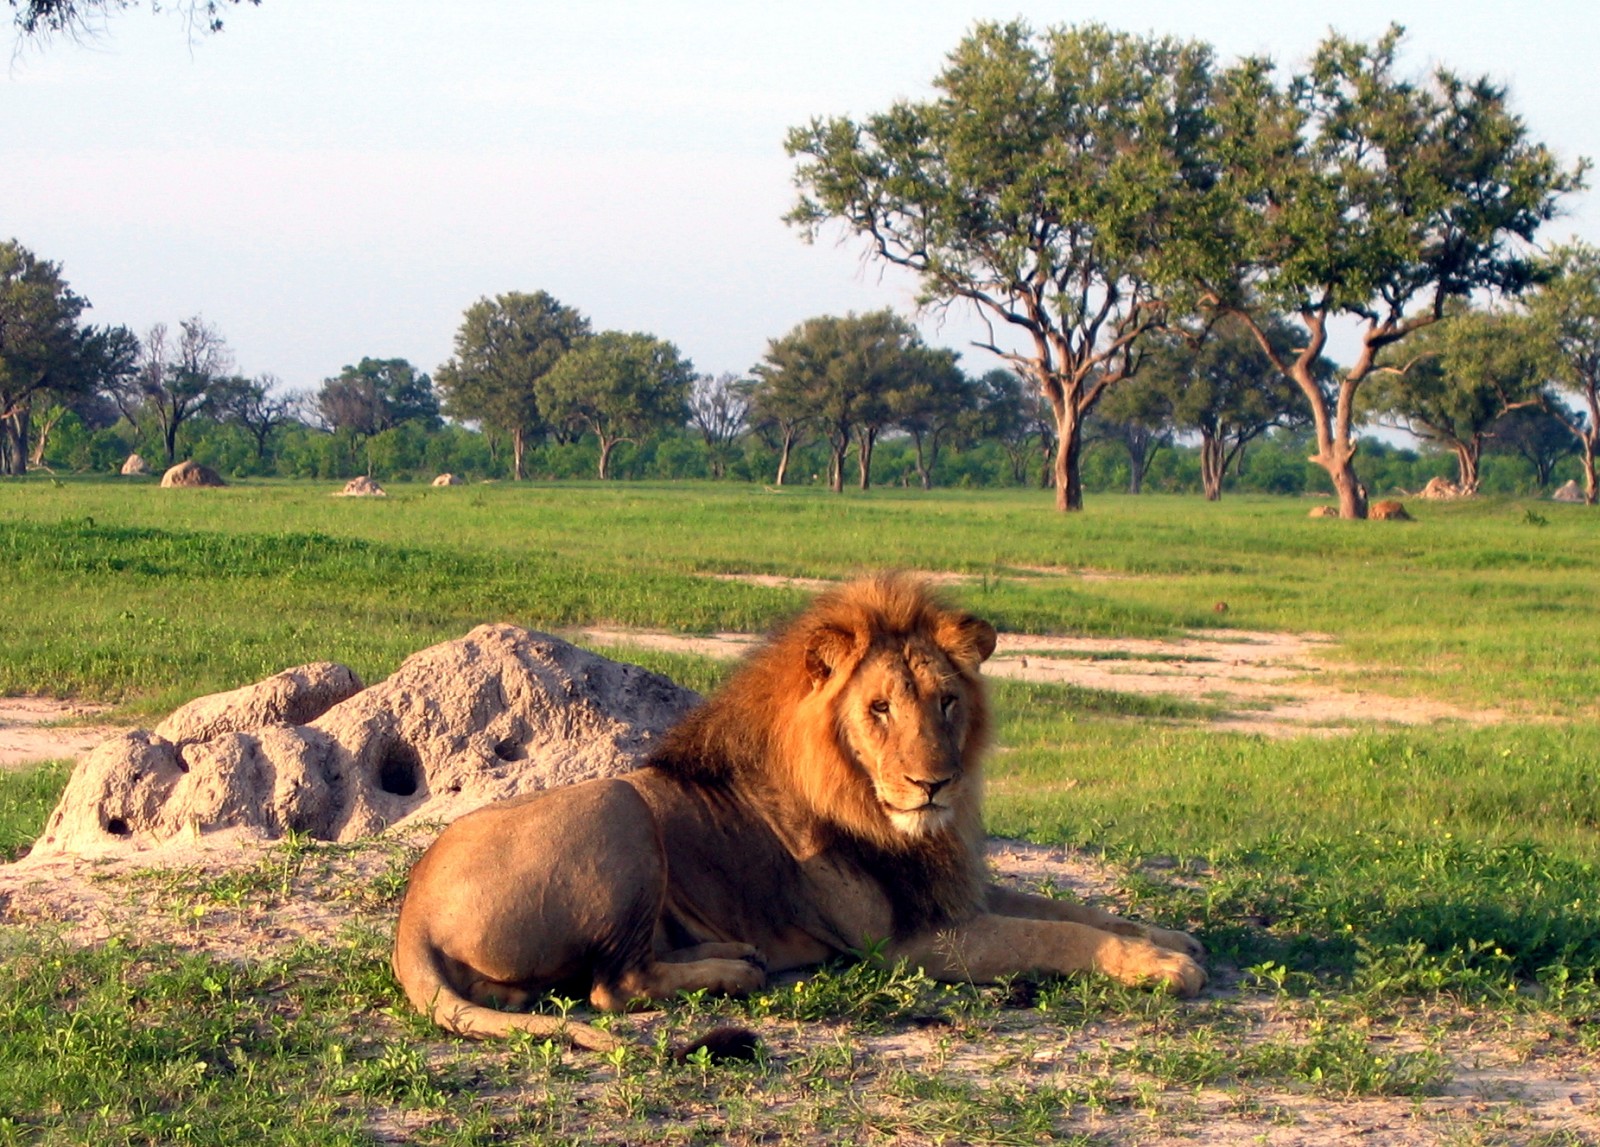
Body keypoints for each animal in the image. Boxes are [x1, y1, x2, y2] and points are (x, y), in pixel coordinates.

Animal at [393, 572, 1203, 1049]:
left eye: (947, 700)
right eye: (879, 708)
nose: (933, 784)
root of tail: (412, 915)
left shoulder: (954, 891)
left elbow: (1075, 909)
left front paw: (1172, 938)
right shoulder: (904, 943)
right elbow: (1055, 935)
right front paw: (1165, 967)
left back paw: (730, 954)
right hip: (616, 804)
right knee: (612, 986)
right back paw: (737, 972)